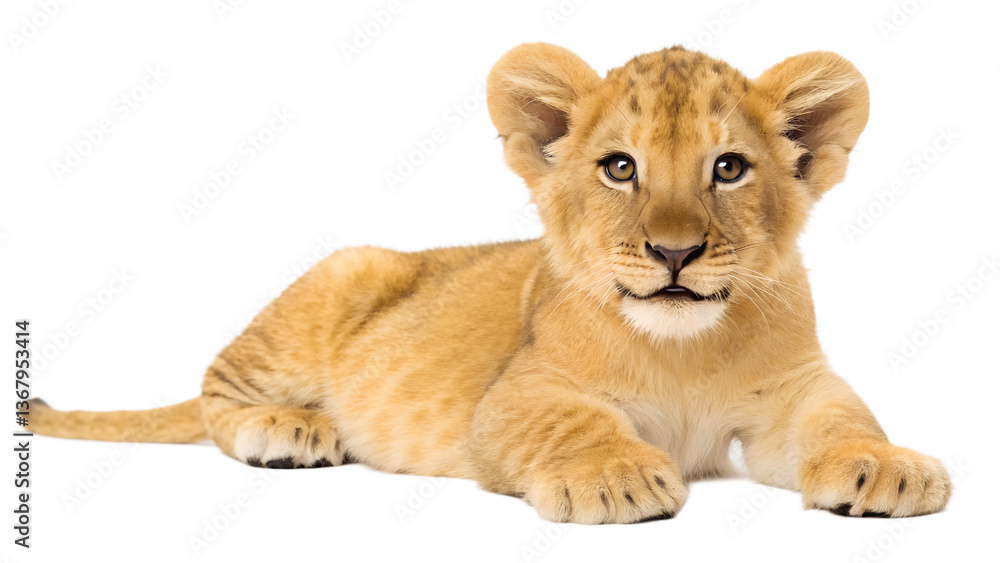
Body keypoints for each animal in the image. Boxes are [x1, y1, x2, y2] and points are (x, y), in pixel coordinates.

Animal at [29, 43, 951, 524]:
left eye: (728, 168)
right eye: (620, 167)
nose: (674, 251)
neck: (685, 350)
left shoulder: (795, 387)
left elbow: (842, 414)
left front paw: (887, 467)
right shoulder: (517, 393)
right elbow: (572, 420)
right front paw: (615, 476)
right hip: (346, 267)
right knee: (216, 389)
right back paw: (288, 428)